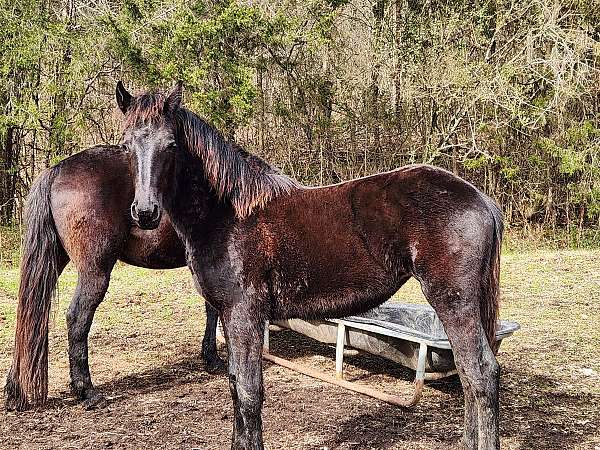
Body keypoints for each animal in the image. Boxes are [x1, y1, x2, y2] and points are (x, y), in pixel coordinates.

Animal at [4, 144, 225, 412]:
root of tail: (56, 171)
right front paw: (215, 359)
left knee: (30, 314)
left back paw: (16, 391)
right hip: (95, 272)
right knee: (77, 317)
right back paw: (87, 391)